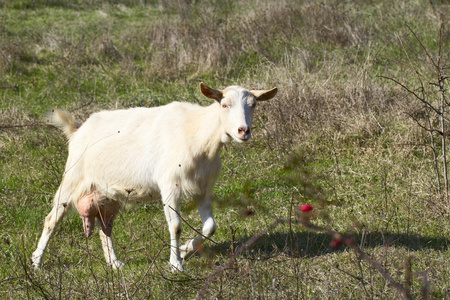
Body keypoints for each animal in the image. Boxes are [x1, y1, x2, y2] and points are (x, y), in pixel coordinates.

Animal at [31, 82, 276, 272]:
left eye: (253, 105)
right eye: (224, 105)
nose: (243, 131)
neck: (197, 134)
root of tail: (78, 129)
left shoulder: (203, 190)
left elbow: (210, 227)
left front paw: (185, 250)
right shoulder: (170, 185)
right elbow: (175, 226)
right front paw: (176, 264)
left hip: (107, 193)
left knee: (104, 227)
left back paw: (115, 263)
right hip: (73, 177)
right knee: (52, 219)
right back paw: (36, 262)